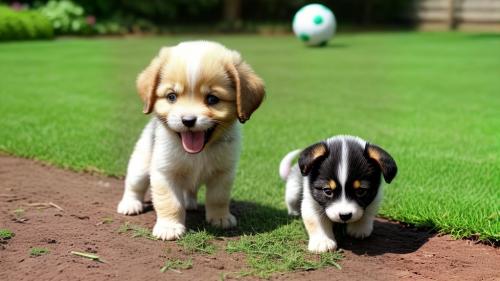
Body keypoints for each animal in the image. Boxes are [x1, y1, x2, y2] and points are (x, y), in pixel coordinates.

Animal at [117, 40, 266, 240]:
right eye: (171, 96)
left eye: (212, 99)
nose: (188, 120)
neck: (198, 153)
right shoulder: (165, 173)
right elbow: (169, 202)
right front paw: (169, 226)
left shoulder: (223, 173)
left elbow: (218, 198)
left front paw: (220, 217)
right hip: (140, 166)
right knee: (134, 186)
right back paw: (130, 204)